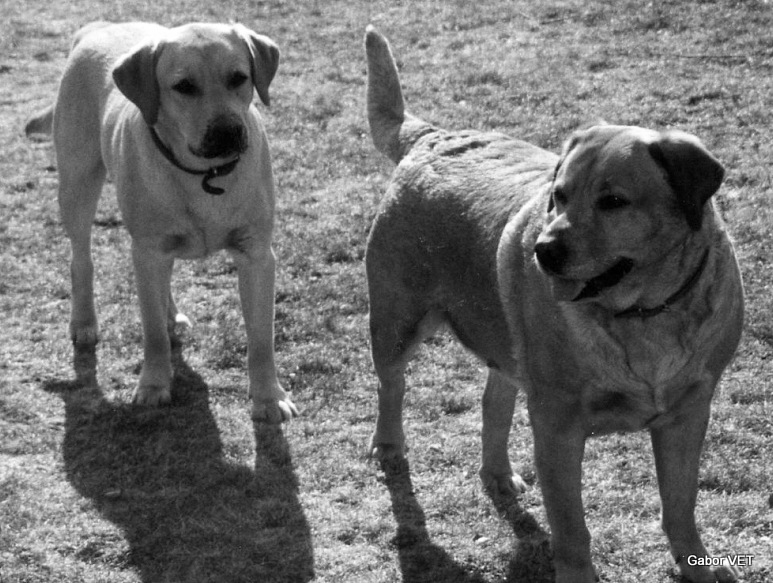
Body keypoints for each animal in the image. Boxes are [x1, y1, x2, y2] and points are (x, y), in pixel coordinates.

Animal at [26, 22, 297, 423]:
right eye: (183, 86)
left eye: (239, 78)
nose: (228, 131)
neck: (205, 176)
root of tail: (100, 27)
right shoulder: (149, 252)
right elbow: (151, 331)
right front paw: (153, 384)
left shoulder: (257, 256)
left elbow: (262, 338)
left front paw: (268, 397)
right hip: (77, 184)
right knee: (81, 260)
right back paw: (84, 322)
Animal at [365, 27, 744, 583]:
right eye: (559, 195)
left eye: (613, 201)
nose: (544, 251)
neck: (642, 317)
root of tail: (433, 136)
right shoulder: (557, 426)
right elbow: (571, 526)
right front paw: (577, 572)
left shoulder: (688, 414)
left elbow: (680, 504)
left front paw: (696, 564)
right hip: (397, 320)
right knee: (391, 386)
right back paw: (389, 447)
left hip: (500, 337)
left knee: (494, 399)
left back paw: (498, 474)